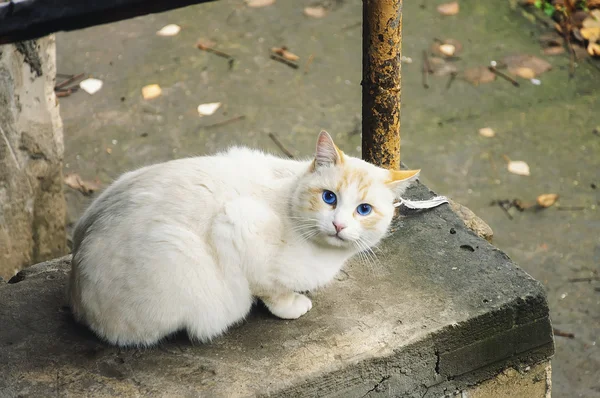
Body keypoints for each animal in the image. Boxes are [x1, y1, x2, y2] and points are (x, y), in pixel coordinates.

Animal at [68, 131, 420, 346]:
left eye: (363, 210)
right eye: (329, 198)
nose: (338, 225)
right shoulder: (237, 225)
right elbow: (272, 291)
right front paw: (294, 304)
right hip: (180, 253)